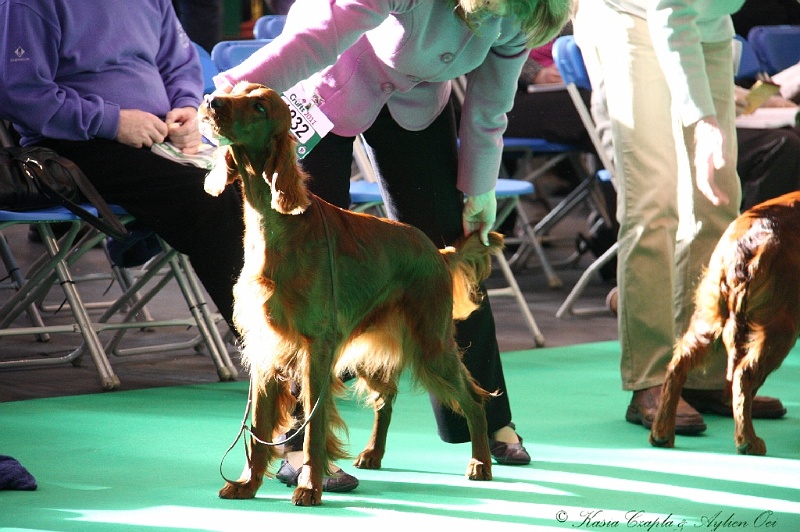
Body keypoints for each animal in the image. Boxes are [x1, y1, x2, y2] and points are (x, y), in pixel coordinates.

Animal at [200, 81, 500, 504]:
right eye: (237, 90)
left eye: (259, 106)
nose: (211, 101)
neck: (277, 226)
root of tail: (438, 252)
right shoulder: (265, 348)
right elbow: (258, 430)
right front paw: (247, 483)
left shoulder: (317, 347)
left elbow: (312, 427)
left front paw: (310, 486)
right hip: (364, 349)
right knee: (386, 396)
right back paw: (374, 453)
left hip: (431, 345)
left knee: (472, 400)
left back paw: (481, 463)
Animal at [652, 189, 796, 456]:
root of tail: (747, 243)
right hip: (781, 325)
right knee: (744, 374)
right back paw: (748, 440)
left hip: (709, 318)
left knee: (678, 363)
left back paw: (662, 433)